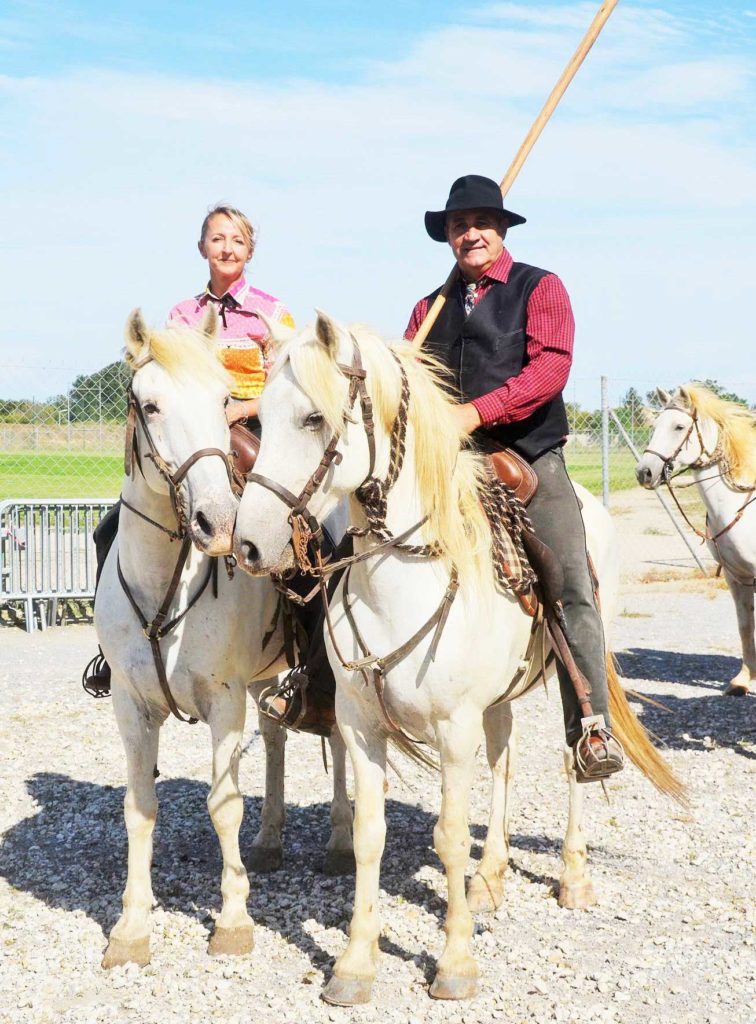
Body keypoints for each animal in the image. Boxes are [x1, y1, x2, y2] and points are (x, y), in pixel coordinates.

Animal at [94, 309, 352, 966]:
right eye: (150, 404)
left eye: (222, 399)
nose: (219, 523)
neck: (166, 585)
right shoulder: (131, 706)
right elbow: (139, 807)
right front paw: (131, 927)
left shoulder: (223, 701)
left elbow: (222, 804)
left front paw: (233, 920)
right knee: (277, 739)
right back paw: (269, 841)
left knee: (340, 741)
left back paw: (340, 841)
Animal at [232, 313, 680, 1007]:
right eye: (260, 418)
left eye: (311, 418)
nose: (249, 543)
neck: (404, 576)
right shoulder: (360, 727)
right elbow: (370, 834)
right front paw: (355, 963)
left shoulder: (453, 728)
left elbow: (446, 835)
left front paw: (455, 961)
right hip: (497, 704)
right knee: (504, 763)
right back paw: (490, 877)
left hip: (572, 668)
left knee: (572, 761)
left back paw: (573, 874)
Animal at [635, 385, 753, 696]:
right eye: (655, 426)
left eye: (679, 426)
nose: (644, 472)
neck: (737, 505)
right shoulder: (737, 577)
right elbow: (745, 626)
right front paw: (742, 680)